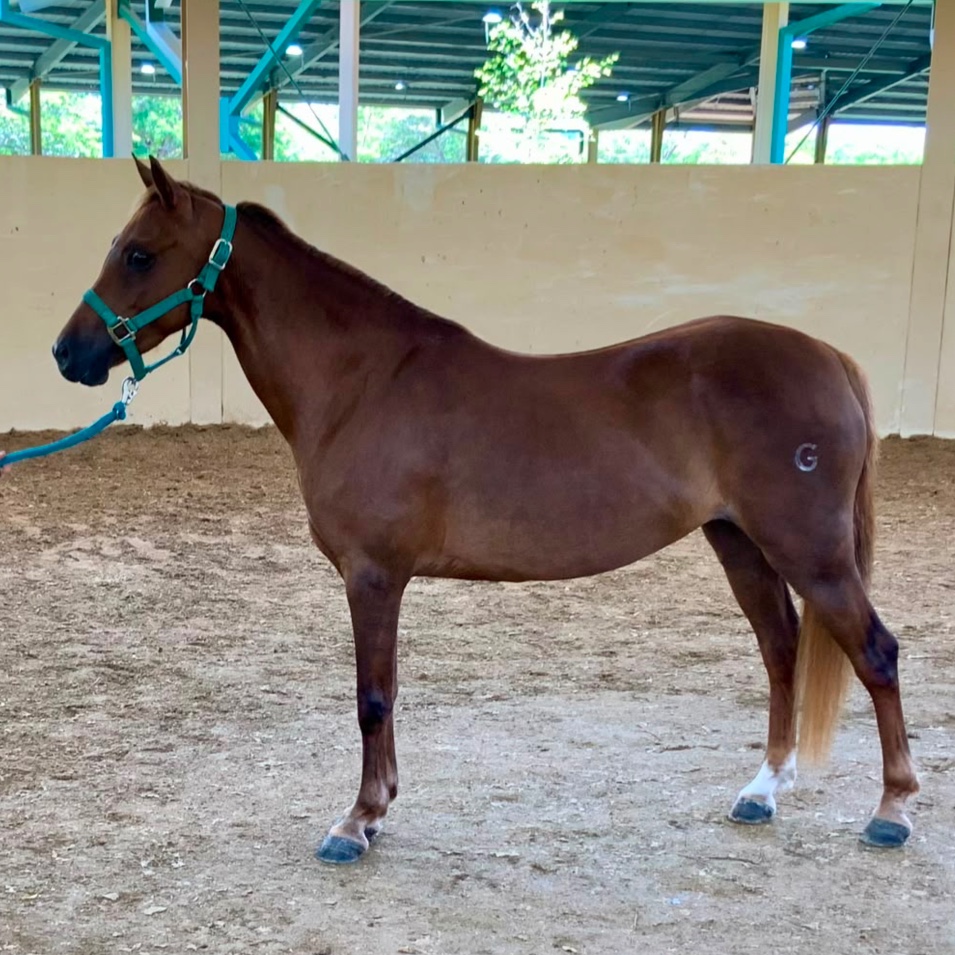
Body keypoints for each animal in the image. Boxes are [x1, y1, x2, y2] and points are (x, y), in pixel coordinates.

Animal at [51, 156, 919, 864]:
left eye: (138, 252)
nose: (68, 353)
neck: (363, 380)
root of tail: (828, 358)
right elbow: (382, 695)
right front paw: (374, 812)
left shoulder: (373, 575)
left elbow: (372, 698)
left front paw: (356, 821)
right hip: (739, 541)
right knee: (779, 649)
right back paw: (760, 792)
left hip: (811, 551)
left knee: (874, 652)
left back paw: (892, 811)